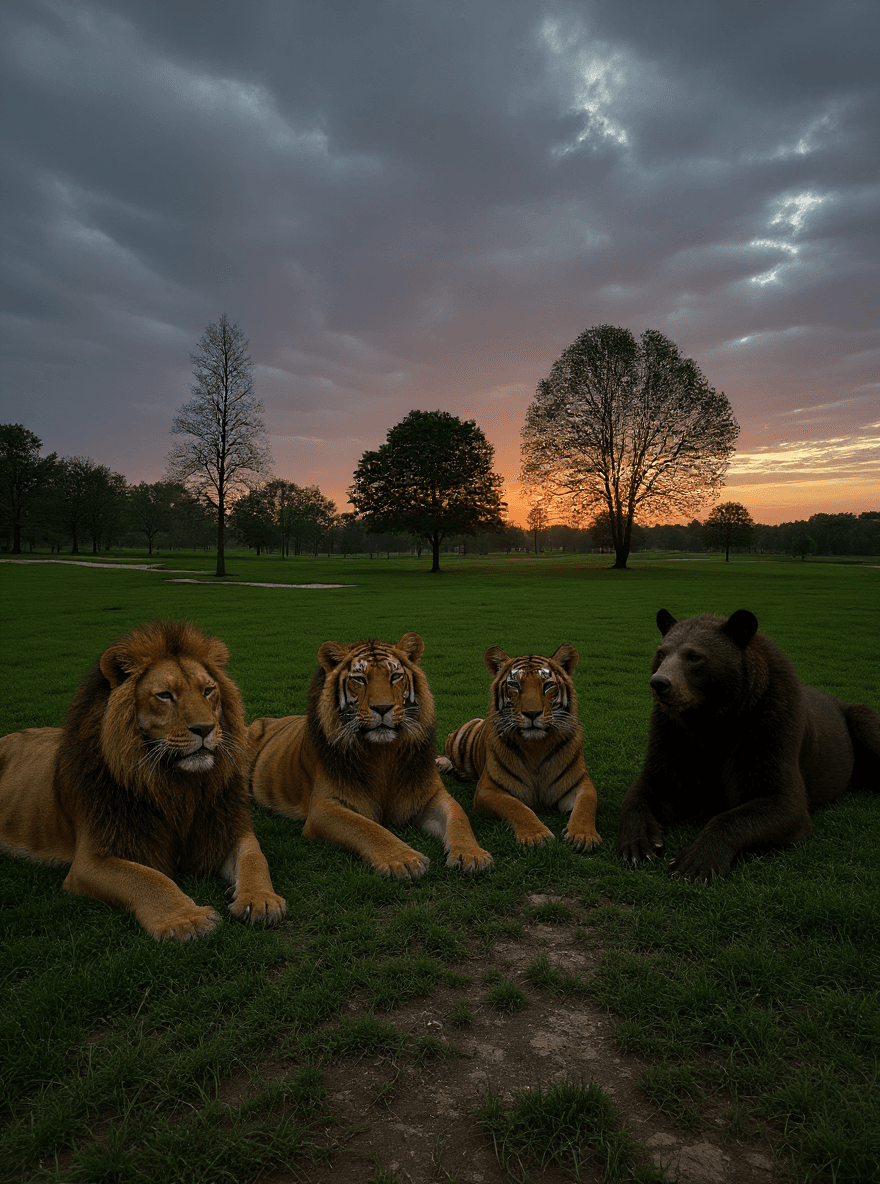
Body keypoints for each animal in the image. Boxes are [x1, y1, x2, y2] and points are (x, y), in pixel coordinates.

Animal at [0, 620, 286, 940]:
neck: (177, 788)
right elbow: (147, 878)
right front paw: (186, 919)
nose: (205, 728)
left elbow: (255, 857)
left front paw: (260, 900)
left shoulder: (224, 829)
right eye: (165, 695)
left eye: (208, 690)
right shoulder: (90, 860)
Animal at [248, 632, 493, 879]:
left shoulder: (432, 794)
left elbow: (459, 817)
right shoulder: (324, 807)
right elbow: (368, 828)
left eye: (395, 676)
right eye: (360, 679)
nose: (382, 708)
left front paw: (471, 854)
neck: (384, 753)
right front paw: (404, 860)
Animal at [436, 644, 601, 850]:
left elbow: (587, 804)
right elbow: (516, 807)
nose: (532, 713)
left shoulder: (580, 783)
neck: (537, 746)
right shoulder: (488, 789)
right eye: (514, 685)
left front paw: (584, 836)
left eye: (548, 686)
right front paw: (536, 835)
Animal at [616, 608, 880, 881]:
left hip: (857, 720)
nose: (659, 683)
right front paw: (638, 846)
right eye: (662, 652)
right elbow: (648, 788)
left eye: (695, 656)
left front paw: (694, 862)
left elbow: (781, 803)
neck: (712, 721)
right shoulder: (674, 735)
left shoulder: (768, 732)